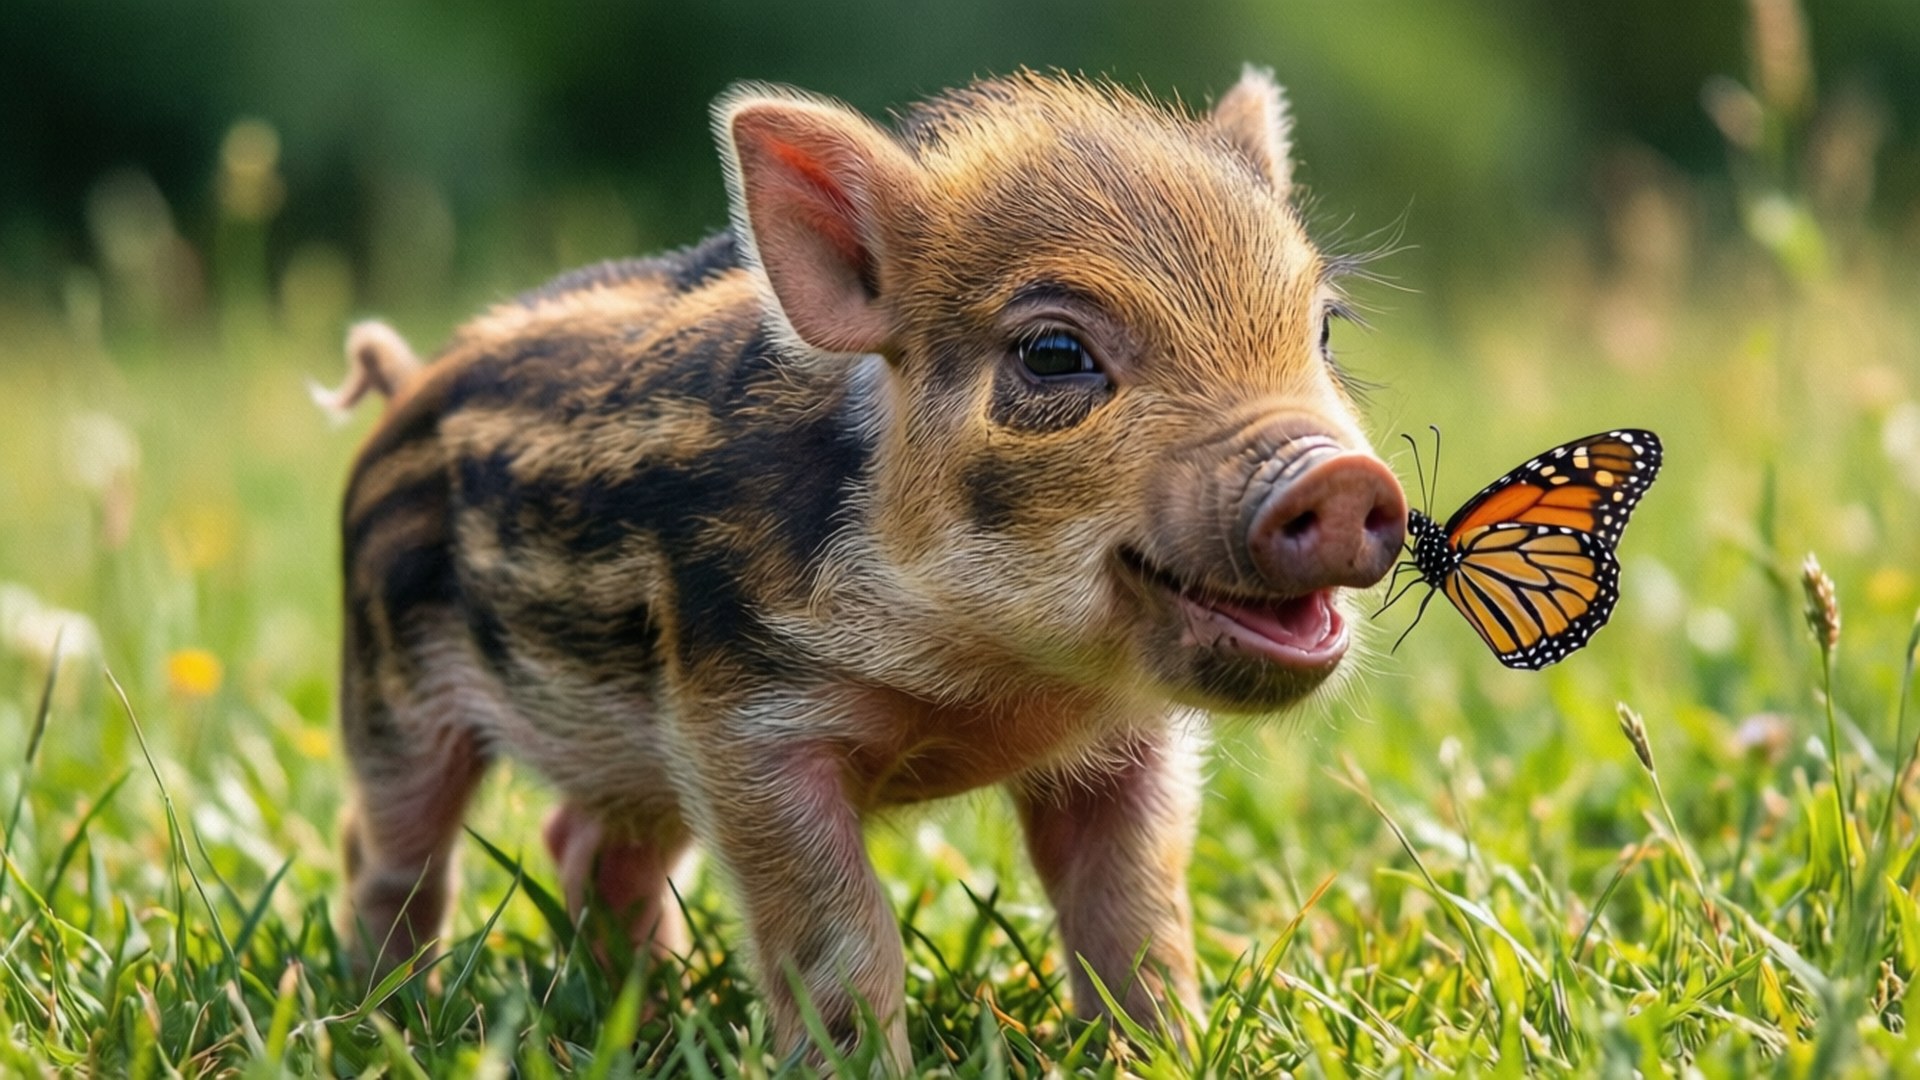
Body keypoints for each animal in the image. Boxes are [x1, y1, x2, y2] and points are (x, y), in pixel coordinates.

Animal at [324, 67, 1407, 1066]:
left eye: (1320, 327)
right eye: (1054, 353)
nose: (1343, 475)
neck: (991, 685)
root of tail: (404, 385)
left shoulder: (1132, 745)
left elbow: (1135, 919)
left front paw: (1163, 1051)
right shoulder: (748, 724)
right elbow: (841, 938)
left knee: (587, 846)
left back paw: (643, 1009)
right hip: (389, 687)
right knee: (390, 850)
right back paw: (389, 1012)